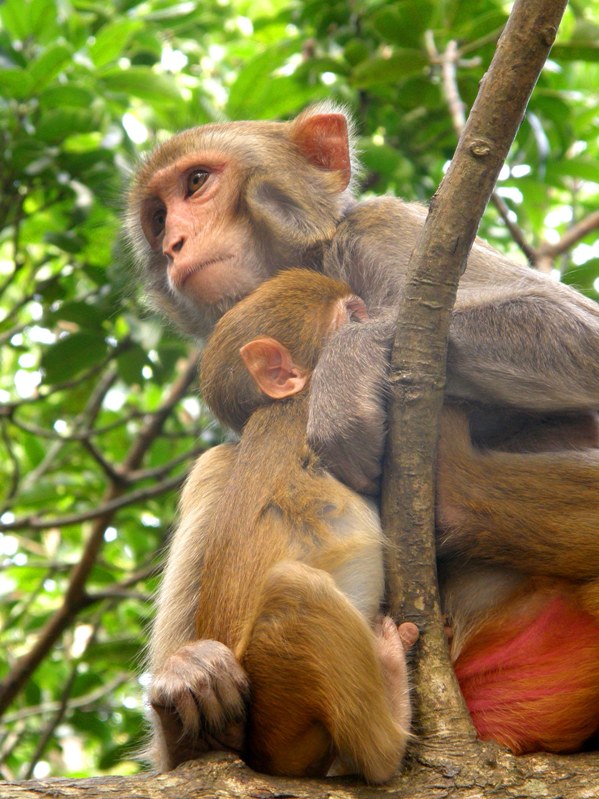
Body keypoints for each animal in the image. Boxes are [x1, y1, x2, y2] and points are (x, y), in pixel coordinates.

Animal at [149, 272, 420, 784]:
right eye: (353, 313)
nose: (374, 318)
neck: (294, 401)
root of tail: (256, 754)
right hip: (280, 713)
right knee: (295, 591)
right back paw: (388, 723)